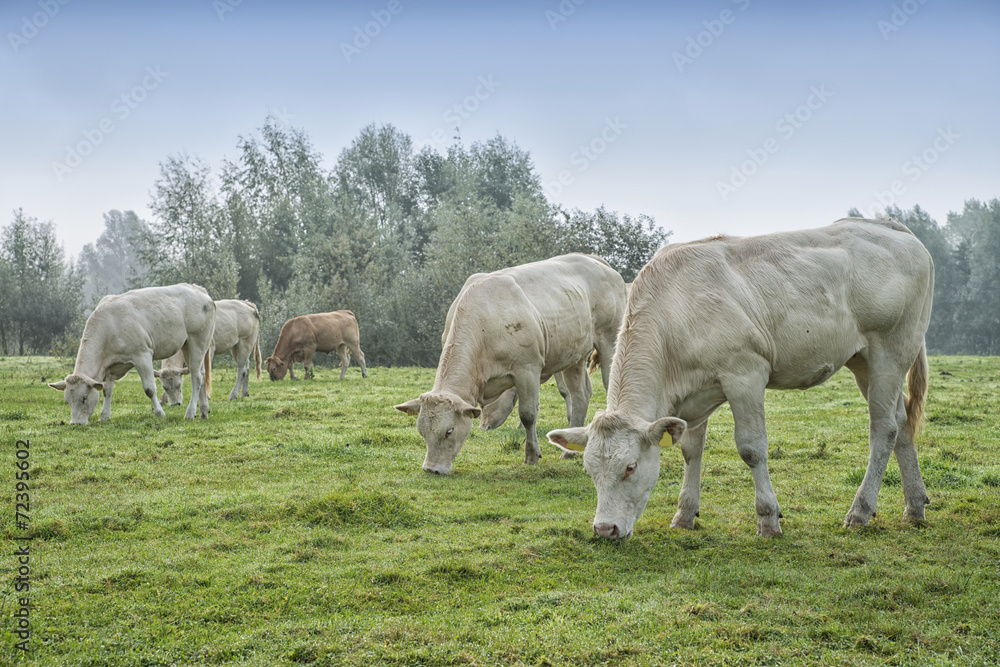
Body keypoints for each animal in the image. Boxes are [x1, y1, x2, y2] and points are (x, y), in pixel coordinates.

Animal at [49, 284, 216, 422]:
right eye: (67, 400)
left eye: (84, 398)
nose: (76, 423)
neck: (109, 326)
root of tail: (198, 289)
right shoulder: (110, 366)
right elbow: (107, 390)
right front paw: (104, 416)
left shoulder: (142, 355)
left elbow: (149, 389)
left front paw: (159, 413)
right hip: (187, 345)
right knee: (201, 373)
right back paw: (203, 411)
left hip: (198, 339)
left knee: (196, 377)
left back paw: (190, 413)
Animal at [396, 253, 624, 478]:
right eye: (421, 431)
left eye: (449, 431)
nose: (431, 469)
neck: (484, 322)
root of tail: (593, 259)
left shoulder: (528, 369)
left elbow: (528, 415)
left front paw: (531, 455)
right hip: (574, 355)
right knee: (580, 395)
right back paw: (568, 452)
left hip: (609, 340)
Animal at [552, 222, 932, 540]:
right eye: (589, 469)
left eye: (630, 467)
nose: (605, 529)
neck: (677, 313)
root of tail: (891, 226)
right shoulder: (693, 395)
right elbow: (691, 450)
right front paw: (684, 515)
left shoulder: (745, 374)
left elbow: (752, 448)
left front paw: (768, 519)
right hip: (863, 360)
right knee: (901, 421)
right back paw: (914, 505)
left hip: (891, 349)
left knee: (883, 427)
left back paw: (860, 511)